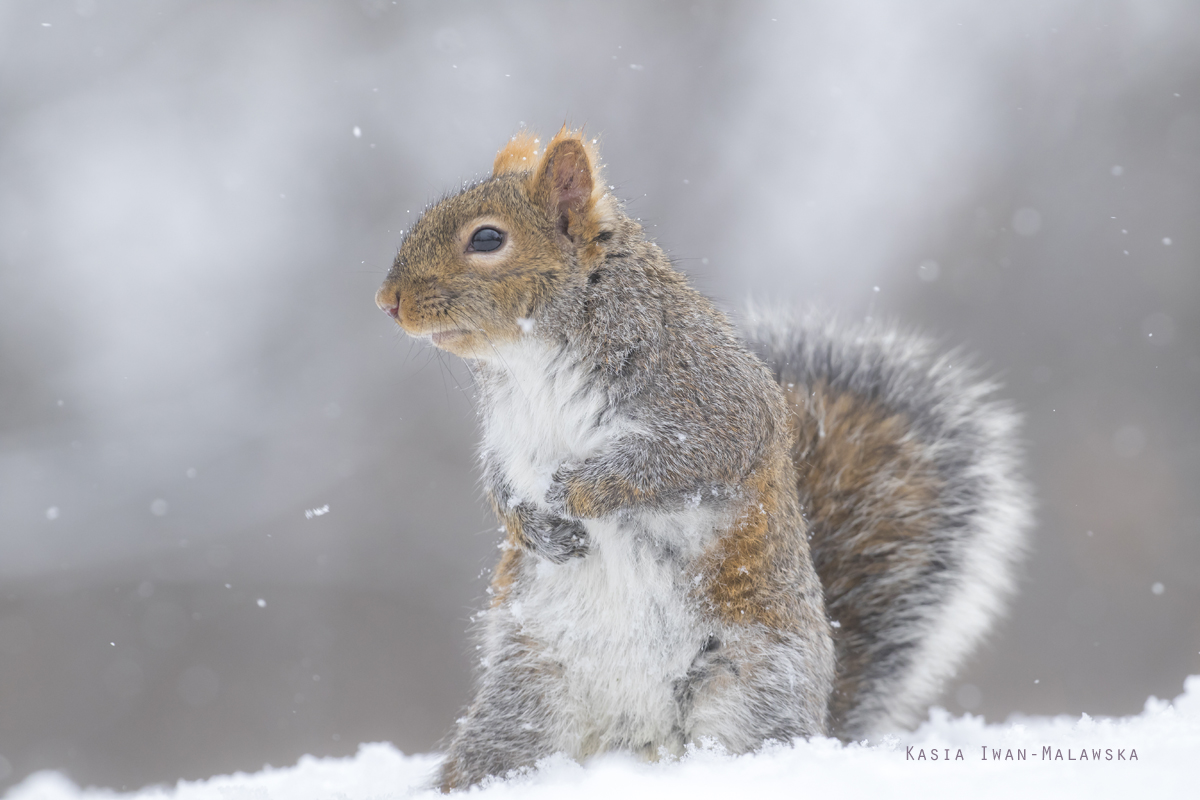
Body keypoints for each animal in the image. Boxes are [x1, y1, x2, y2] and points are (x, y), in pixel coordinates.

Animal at [372, 128, 1032, 791]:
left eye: (487, 239)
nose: (386, 301)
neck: (529, 361)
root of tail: (637, 743)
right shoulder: (506, 439)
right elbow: (499, 486)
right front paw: (534, 527)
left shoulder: (715, 408)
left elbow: (669, 464)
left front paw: (576, 490)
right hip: (523, 702)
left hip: (748, 693)